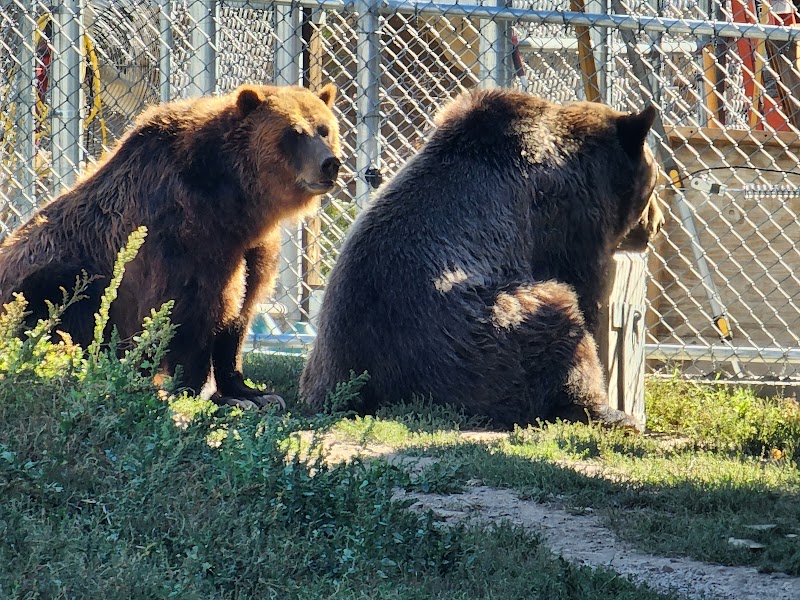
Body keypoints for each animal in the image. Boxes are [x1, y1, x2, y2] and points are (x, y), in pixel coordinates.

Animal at [0, 83, 341, 409]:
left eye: (323, 128)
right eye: (294, 132)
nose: (330, 163)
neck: (236, 201)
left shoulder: (250, 249)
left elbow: (239, 312)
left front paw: (253, 392)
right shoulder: (183, 235)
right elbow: (189, 312)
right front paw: (202, 390)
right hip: (52, 276)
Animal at [299, 88, 661, 429]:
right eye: (655, 180)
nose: (656, 224)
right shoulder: (564, 223)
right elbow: (582, 289)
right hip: (470, 343)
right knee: (554, 311)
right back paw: (611, 413)